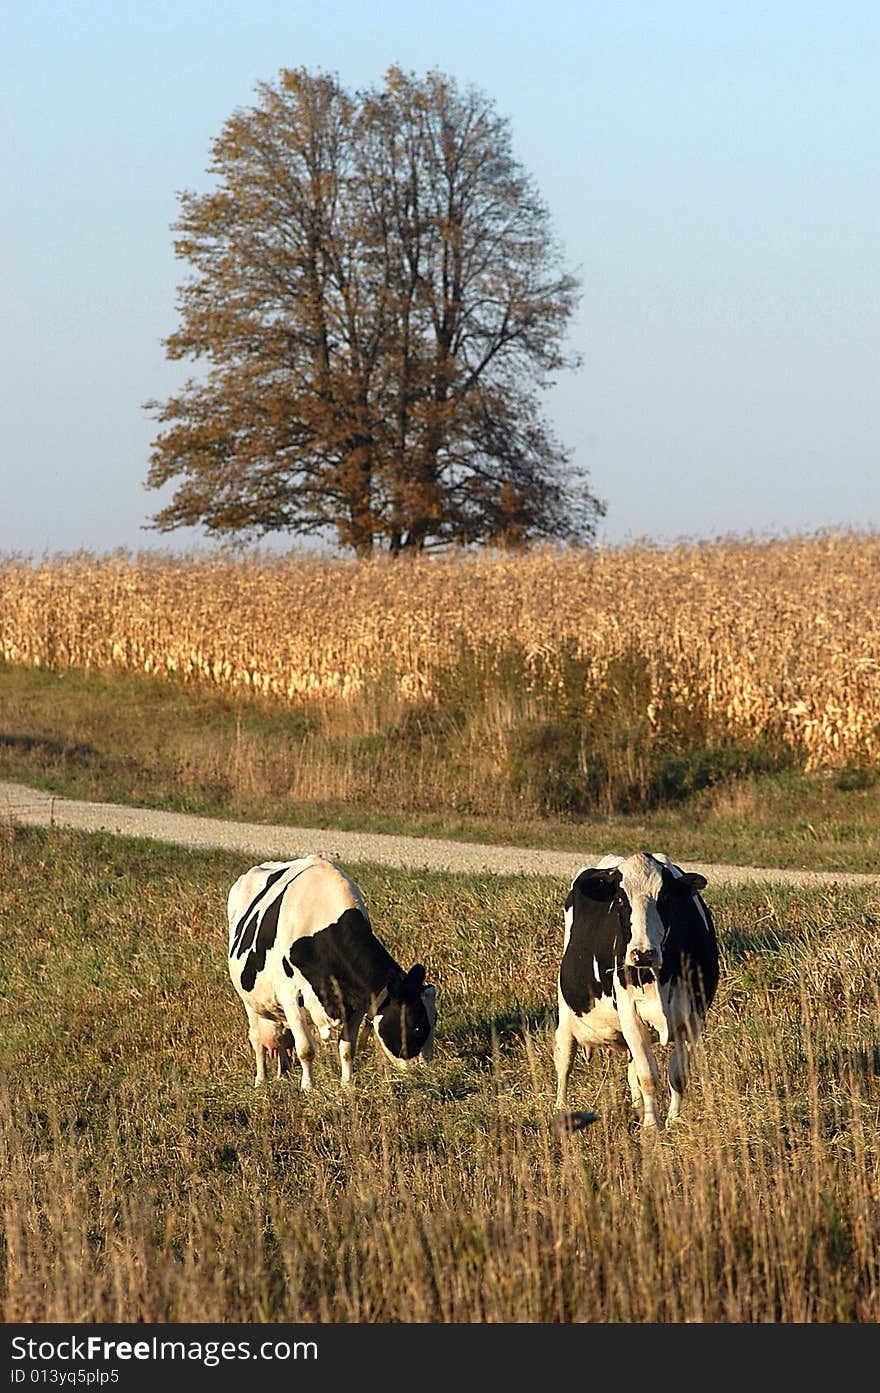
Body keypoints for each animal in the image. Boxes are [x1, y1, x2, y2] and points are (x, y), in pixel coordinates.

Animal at [225, 852, 434, 1092]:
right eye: (416, 1026)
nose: (425, 1072)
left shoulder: (357, 1001)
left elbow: (347, 1048)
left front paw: (347, 1083)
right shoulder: (290, 996)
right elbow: (305, 1048)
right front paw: (308, 1088)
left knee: (282, 1038)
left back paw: (283, 1074)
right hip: (250, 1001)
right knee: (257, 1039)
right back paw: (262, 1080)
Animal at [554, 846, 718, 1131]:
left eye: (665, 897)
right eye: (620, 900)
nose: (642, 953)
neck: (660, 976)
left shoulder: (695, 1016)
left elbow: (677, 1074)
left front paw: (673, 1119)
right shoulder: (630, 1013)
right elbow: (648, 1076)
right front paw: (652, 1127)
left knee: (632, 1074)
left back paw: (638, 1109)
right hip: (566, 1011)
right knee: (564, 1059)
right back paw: (560, 1108)